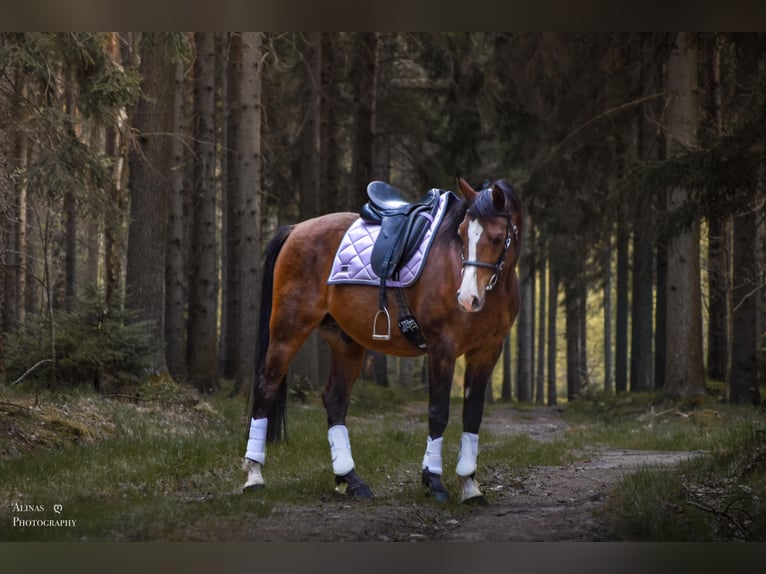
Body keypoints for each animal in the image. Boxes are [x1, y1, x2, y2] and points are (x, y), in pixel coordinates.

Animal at [243, 177, 522, 503]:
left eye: (496, 237)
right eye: (463, 234)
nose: (467, 298)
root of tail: (296, 229)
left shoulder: (487, 352)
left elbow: (473, 415)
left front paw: (469, 485)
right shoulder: (442, 348)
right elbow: (438, 412)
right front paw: (434, 482)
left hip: (346, 342)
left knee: (335, 400)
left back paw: (350, 479)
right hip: (288, 330)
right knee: (266, 388)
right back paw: (254, 475)